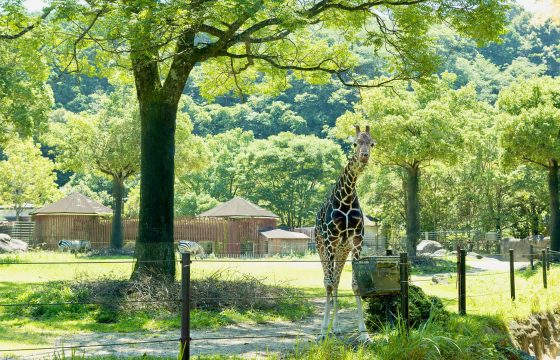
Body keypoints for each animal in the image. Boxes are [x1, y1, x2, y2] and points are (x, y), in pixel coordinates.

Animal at [316, 125, 376, 342]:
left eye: (372, 143)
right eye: (355, 143)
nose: (364, 156)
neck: (347, 197)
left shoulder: (357, 240)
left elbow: (356, 284)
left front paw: (364, 334)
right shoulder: (330, 240)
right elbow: (329, 283)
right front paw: (322, 331)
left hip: (342, 250)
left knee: (337, 280)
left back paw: (336, 328)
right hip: (322, 247)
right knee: (328, 281)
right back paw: (327, 329)